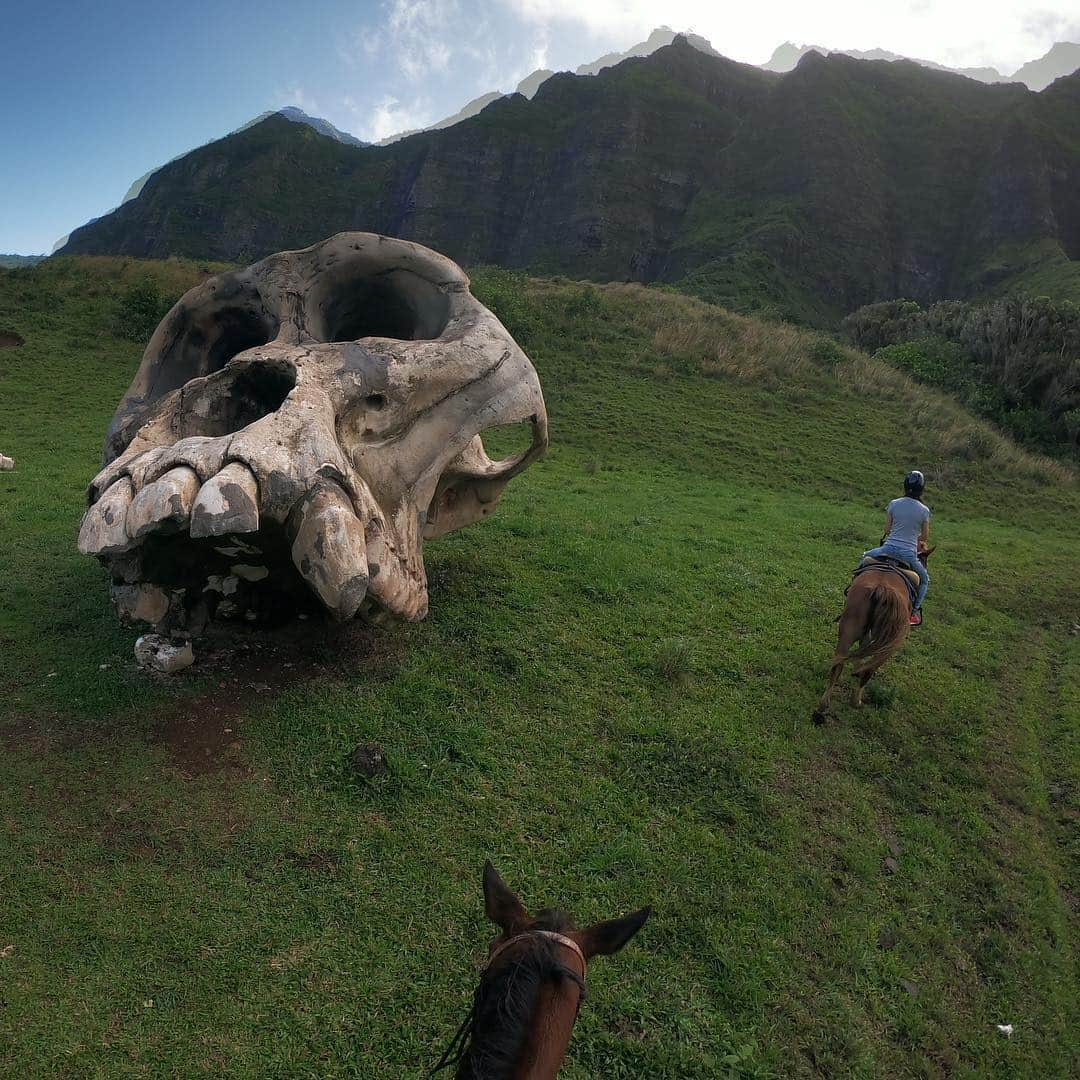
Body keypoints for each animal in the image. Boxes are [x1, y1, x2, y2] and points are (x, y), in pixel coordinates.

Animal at [812, 548, 933, 725]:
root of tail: (881, 589)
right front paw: (858, 669)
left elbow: (863, 646)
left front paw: (857, 666)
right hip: (892, 644)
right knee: (869, 669)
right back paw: (856, 701)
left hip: (849, 630)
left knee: (838, 664)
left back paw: (822, 707)